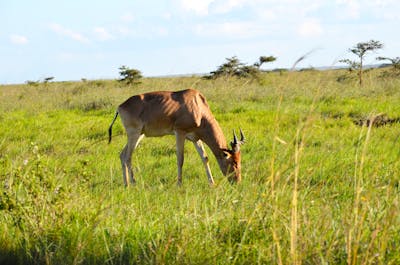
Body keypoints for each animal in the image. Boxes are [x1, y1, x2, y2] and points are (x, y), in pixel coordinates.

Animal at [108, 88, 244, 186]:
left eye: (239, 160)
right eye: (234, 162)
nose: (237, 182)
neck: (197, 105)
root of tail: (120, 106)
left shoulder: (195, 138)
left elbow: (205, 158)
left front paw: (212, 183)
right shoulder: (180, 132)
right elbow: (180, 159)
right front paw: (179, 184)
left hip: (139, 135)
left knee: (122, 155)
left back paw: (126, 185)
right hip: (134, 134)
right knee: (128, 157)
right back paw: (134, 183)